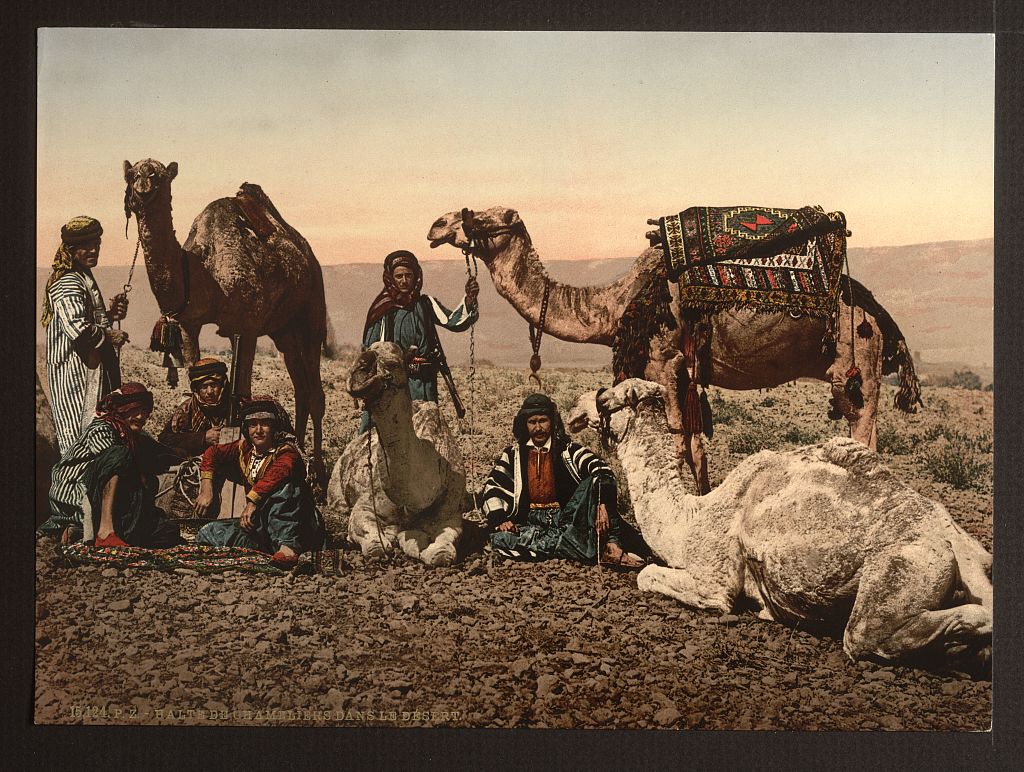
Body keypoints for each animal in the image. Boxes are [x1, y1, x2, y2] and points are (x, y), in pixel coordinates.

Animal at [120, 156, 329, 483]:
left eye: (160, 176)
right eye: (130, 174)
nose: (141, 191)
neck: (202, 272)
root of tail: (306, 252)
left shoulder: (247, 327)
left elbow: (243, 393)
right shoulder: (188, 325)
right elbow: (194, 379)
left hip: (311, 311)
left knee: (316, 392)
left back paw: (317, 471)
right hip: (283, 330)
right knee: (301, 388)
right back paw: (299, 450)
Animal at [327, 341, 464, 565]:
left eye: (393, 363)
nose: (360, 367)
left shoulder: (450, 514)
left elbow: (442, 553)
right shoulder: (366, 505)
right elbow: (374, 545)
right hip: (336, 487)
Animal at [428, 204, 925, 493]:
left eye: (492, 216)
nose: (436, 225)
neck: (615, 307)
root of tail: (876, 311)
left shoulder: (664, 362)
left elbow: (675, 442)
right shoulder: (684, 372)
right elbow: (695, 446)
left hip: (856, 363)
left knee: (864, 435)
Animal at [569, 378, 991, 671]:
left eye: (607, 397)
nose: (575, 411)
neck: (693, 516)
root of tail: (955, 543)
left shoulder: (714, 580)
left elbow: (650, 576)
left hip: (904, 568)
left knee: (866, 635)